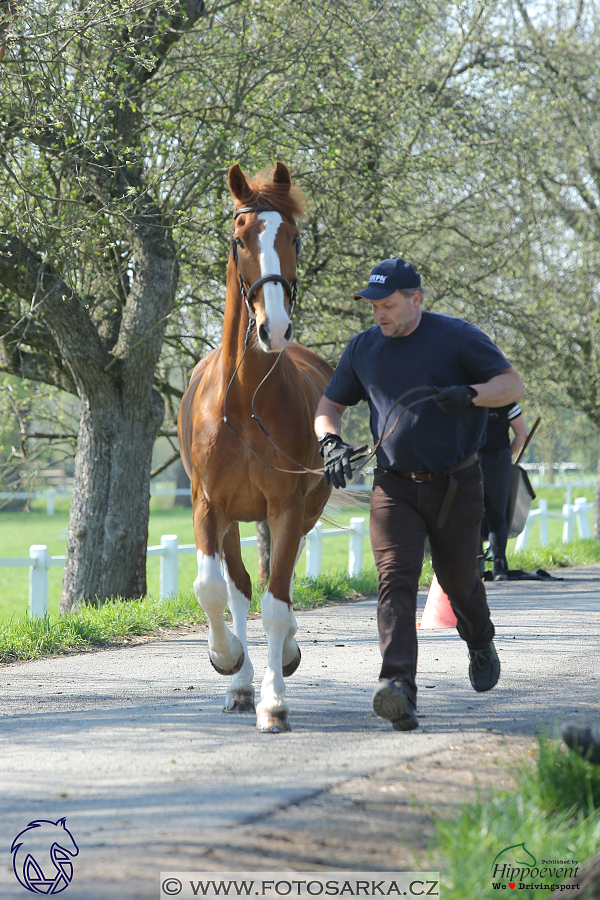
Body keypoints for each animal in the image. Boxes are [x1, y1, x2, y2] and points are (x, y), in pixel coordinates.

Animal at [178, 165, 336, 736]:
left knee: (274, 588)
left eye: (293, 237)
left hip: (304, 510)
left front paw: (274, 702)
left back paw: (277, 661)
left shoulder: (286, 507)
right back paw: (241, 683)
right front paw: (227, 662)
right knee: (241, 586)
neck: (245, 400)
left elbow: (276, 602)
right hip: (229, 521)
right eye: (239, 238)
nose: (275, 328)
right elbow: (212, 589)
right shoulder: (208, 506)